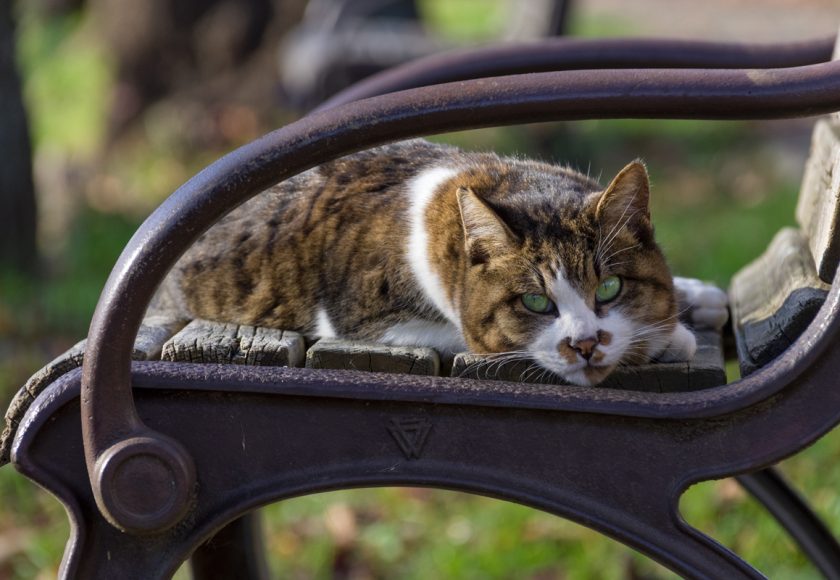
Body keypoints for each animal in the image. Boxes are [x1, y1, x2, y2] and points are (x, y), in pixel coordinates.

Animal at [153, 138, 728, 388]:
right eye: (535, 301)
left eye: (608, 289)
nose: (586, 344)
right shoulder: (364, 318)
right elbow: (472, 337)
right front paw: (667, 336)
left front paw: (691, 298)